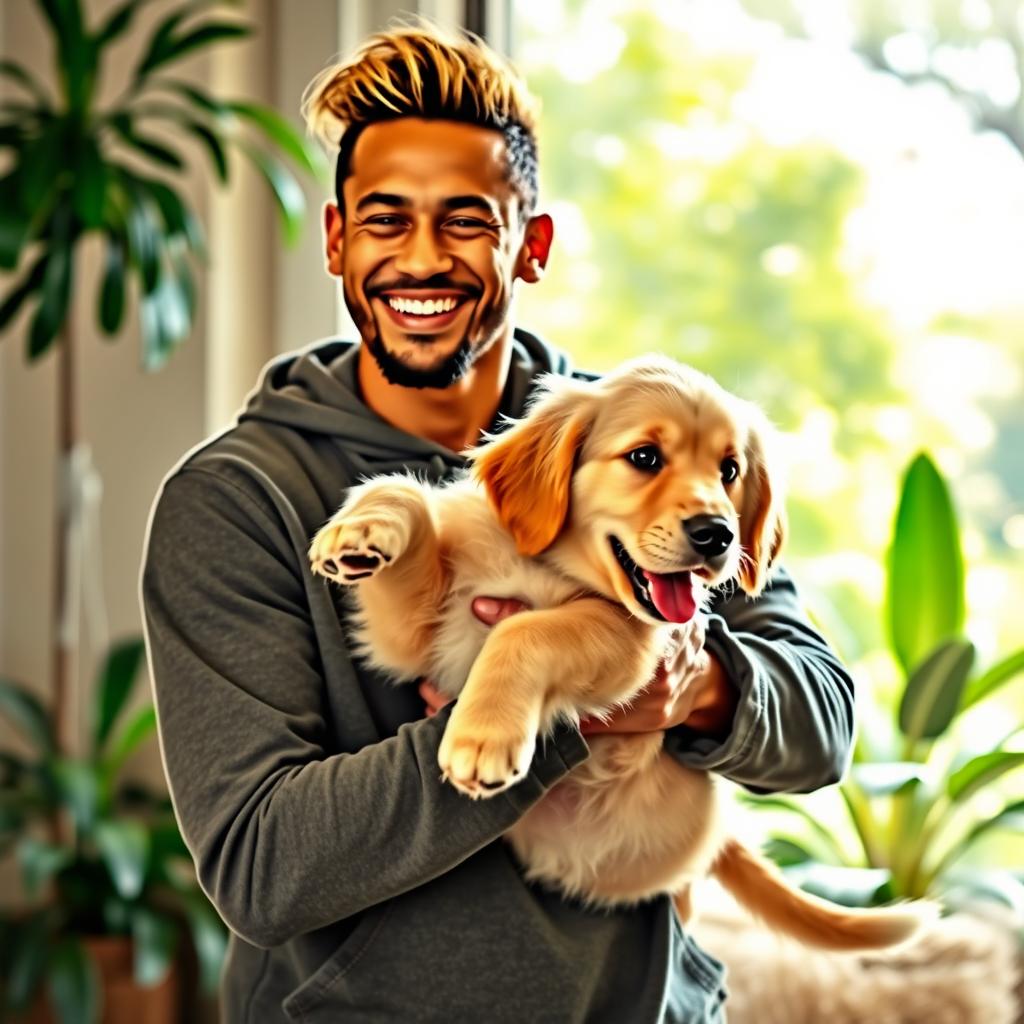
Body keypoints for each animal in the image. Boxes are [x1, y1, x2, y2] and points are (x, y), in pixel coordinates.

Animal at [307, 354, 933, 950]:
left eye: (729, 470)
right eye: (645, 457)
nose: (718, 534)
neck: (549, 566)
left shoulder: (634, 641)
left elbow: (526, 630)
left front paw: (481, 739)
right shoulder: (420, 638)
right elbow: (404, 488)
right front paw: (358, 530)